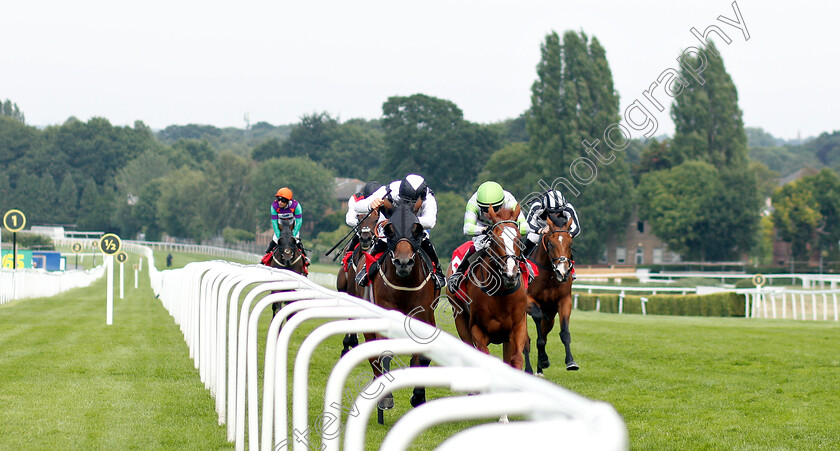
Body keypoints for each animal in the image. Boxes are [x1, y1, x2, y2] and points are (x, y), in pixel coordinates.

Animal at [362, 200, 440, 412]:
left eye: (417, 229)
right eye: (389, 230)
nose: (403, 263)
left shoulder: (424, 314)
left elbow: (422, 357)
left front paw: (418, 395)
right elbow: (384, 352)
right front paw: (386, 398)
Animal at [442, 207, 528, 372]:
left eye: (519, 238)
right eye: (494, 239)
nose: (510, 274)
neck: (500, 293)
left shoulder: (518, 327)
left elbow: (516, 359)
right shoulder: (477, 329)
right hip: (459, 316)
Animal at [524, 215, 576, 374]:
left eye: (570, 243)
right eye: (551, 244)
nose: (562, 272)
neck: (548, 274)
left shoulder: (564, 300)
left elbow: (564, 332)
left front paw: (570, 361)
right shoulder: (528, 300)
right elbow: (537, 318)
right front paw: (543, 358)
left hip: (550, 316)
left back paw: (539, 369)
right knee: (525, 340)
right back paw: (529, 369)